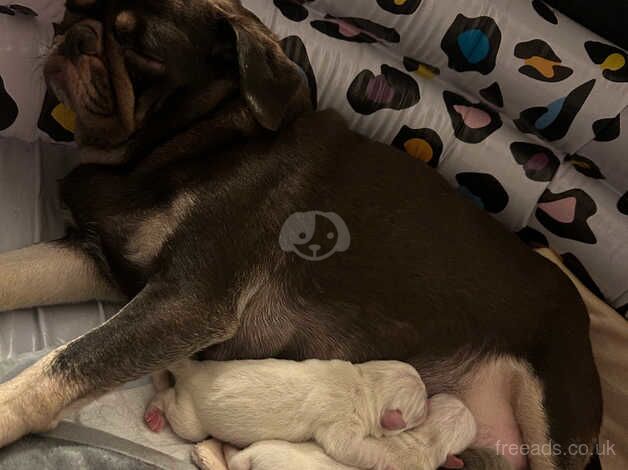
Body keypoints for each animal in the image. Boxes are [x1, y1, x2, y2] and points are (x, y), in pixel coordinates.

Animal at [144, 358, 432, 468]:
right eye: (420, 412)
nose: (431, 405)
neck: (364, 384)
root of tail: (191, 370)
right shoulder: (341, 424)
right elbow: (348, 448)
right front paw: (387, 460)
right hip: (189, 419)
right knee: (168, 402)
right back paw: (154, 413)